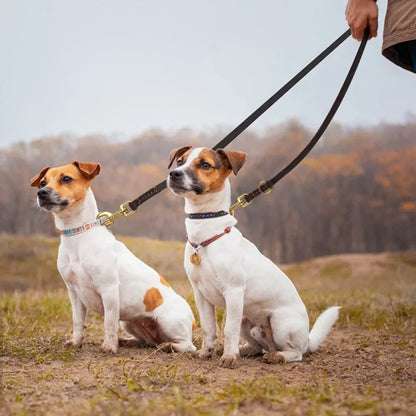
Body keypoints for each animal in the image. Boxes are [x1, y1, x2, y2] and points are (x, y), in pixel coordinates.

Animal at [30, 162, 197, 354]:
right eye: (43, 182)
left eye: (66, 178)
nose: (42, 192)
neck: (78, 235)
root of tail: (193, 320)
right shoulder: (74, 293)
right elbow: (78, 322)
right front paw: (76, 342)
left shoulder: (108, 290)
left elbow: (109, 323)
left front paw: (109, 347)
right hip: (129, 323)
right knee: (146, 341)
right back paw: (128, 341)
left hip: (168, 321)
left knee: (187, 345)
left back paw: (168, 346)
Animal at [167, 147, 340, 368]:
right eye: (180, 161)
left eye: (205, 164)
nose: (174, 173)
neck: (206, 231)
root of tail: (307, 339)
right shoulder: (201, 295)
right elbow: (209, 328)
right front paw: (207, 352)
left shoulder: (233, 292)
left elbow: (228, 331)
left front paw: (229, 357)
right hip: (245, 320)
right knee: (259, 346)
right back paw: (247, 349)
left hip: (280, 323)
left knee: (296, 353)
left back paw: (277, 356)